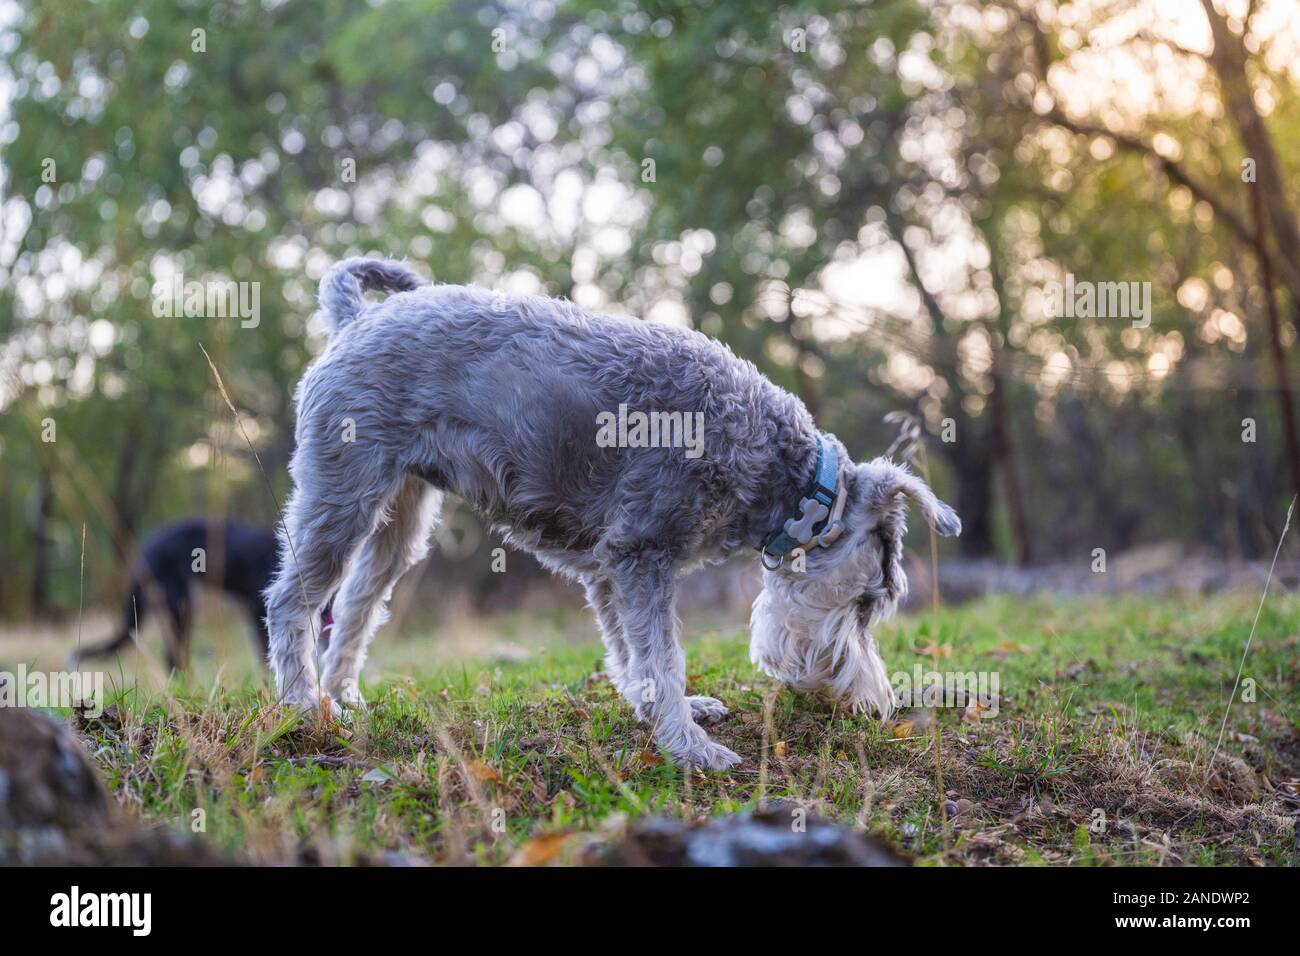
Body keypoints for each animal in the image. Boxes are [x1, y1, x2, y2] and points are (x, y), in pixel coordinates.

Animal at [263, 257, 961, 764]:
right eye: (869, 603)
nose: (876, 705)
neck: (782, 473)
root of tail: (352, 321)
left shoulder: (610, 567)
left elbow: (630, 652)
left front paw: (662, 709)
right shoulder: (640, 554)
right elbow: (661, 654)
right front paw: (692, 748)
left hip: (400, 520)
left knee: (357, 604)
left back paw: (342, 695)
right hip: (342, 499)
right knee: (290, 601)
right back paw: (302, 707)